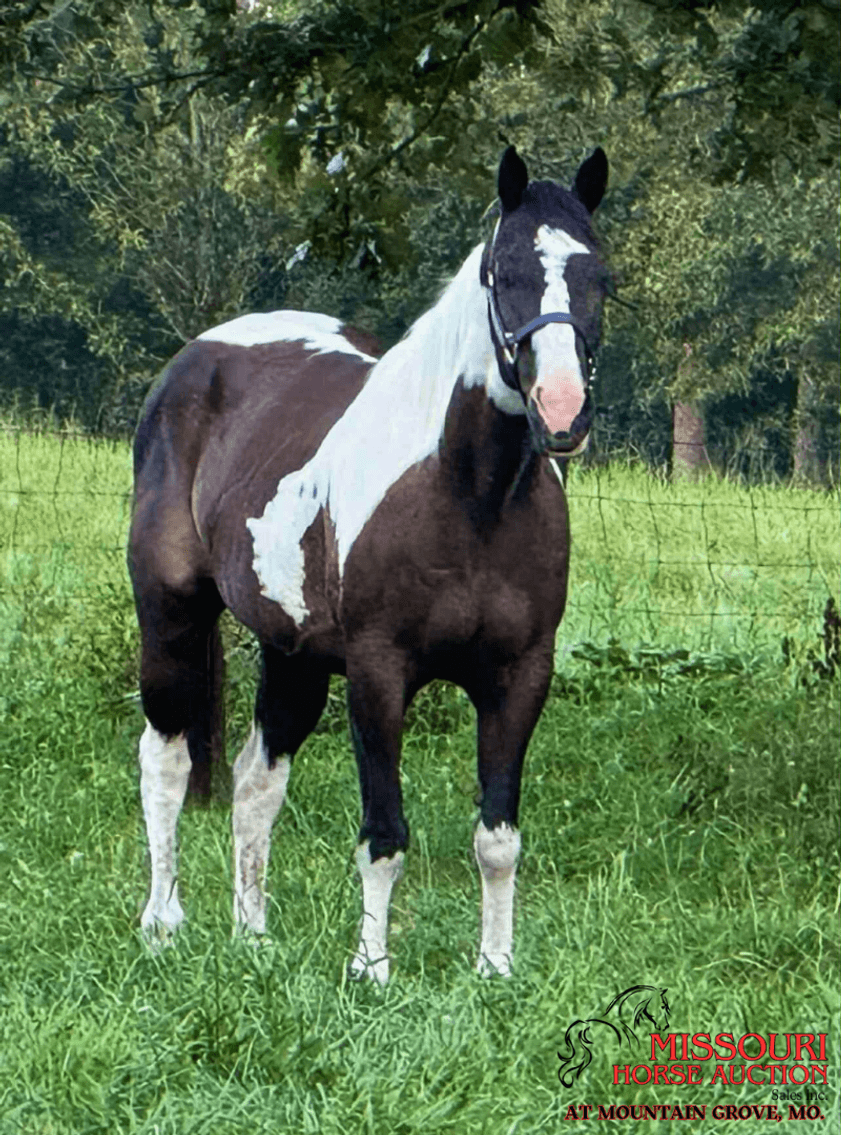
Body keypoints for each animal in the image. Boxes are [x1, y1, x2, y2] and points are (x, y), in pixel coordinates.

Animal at [128, 144, 609, 984]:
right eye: (503, 272)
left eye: (597, 276)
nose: (560, 409)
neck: (468, 492)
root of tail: (197, 356)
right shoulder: (380, 672)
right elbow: (383, 833)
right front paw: (370, 967)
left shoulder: (519, 675)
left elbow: (497, 838)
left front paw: (494, 967)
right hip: (172, 613)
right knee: (166, 759)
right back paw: (163, 922)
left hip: (292, 654)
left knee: (256, 781)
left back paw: (251, 934)